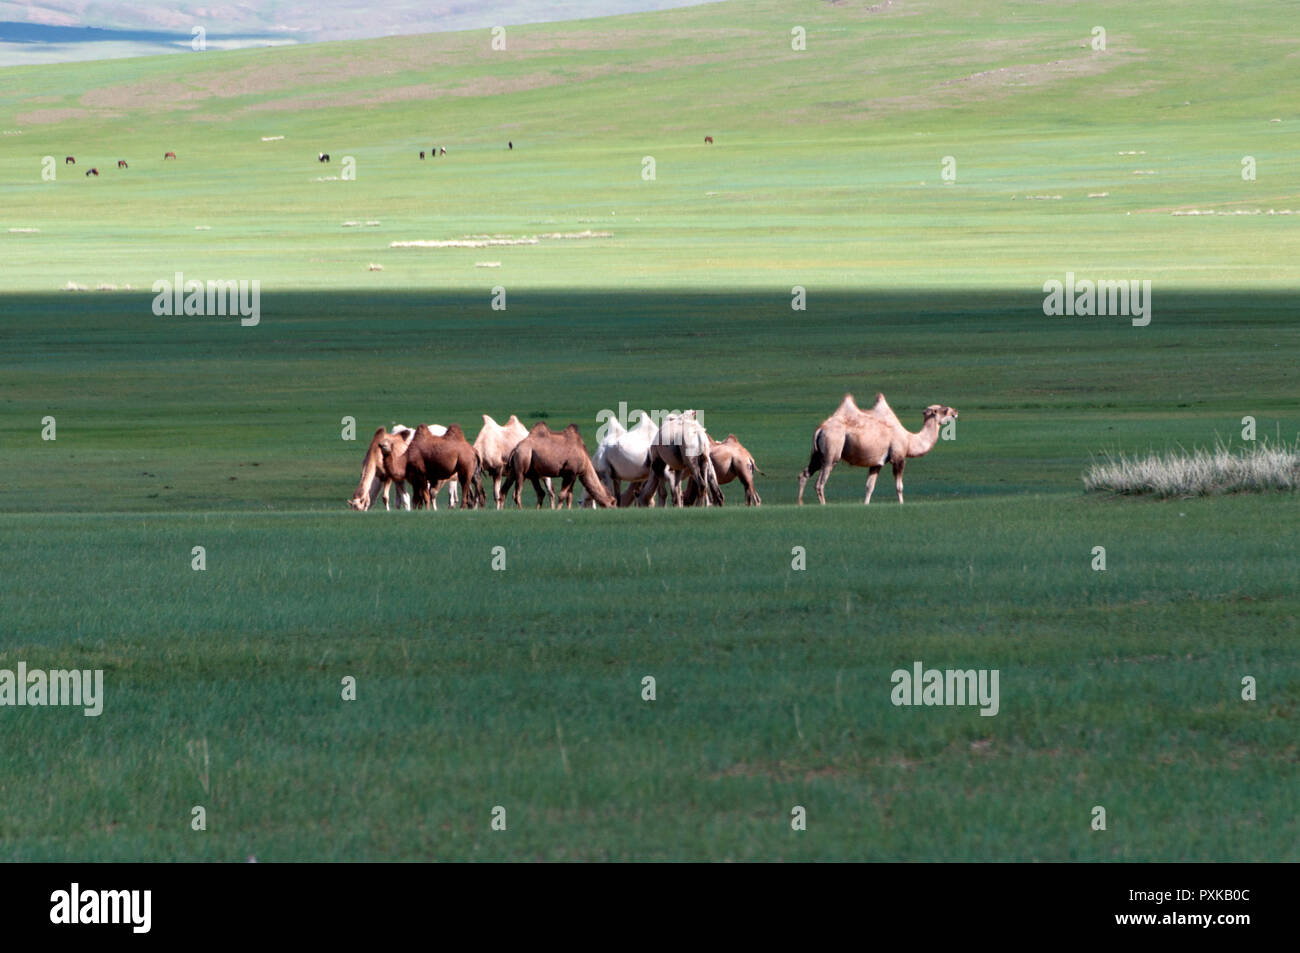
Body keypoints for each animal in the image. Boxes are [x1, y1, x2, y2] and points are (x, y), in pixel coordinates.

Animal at [790, 390, 956, 504]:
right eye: (944, 410)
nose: (955, 412)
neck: (909, 440)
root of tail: (820, 429)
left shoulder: (877, 463)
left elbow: (869, 487)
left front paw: (866, 504)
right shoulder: (898, 458)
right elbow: (899, 486)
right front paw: (902, 504)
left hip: (817, 456)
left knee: (804, 474)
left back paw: (800, 503)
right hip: (831, 452)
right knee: (820, 483)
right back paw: (823, 505)